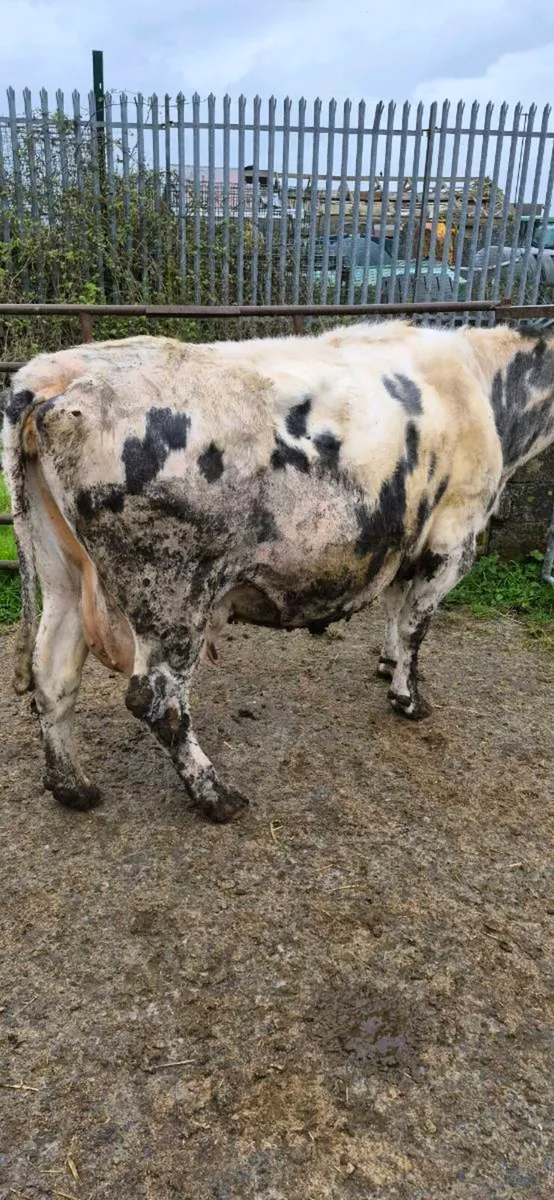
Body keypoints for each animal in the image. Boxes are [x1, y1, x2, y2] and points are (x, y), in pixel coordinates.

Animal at [3, 320, 554, 824]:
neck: (485, 384)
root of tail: (56, 373)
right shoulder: (452, 539)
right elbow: (416, 626)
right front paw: (408, 698)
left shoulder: (402, 541)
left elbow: (396, 613)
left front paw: (386, 664)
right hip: (172, 592)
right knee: (158, 700)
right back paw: (216, 797)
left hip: (64, 575)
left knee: (51, 672)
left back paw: (73, 787)